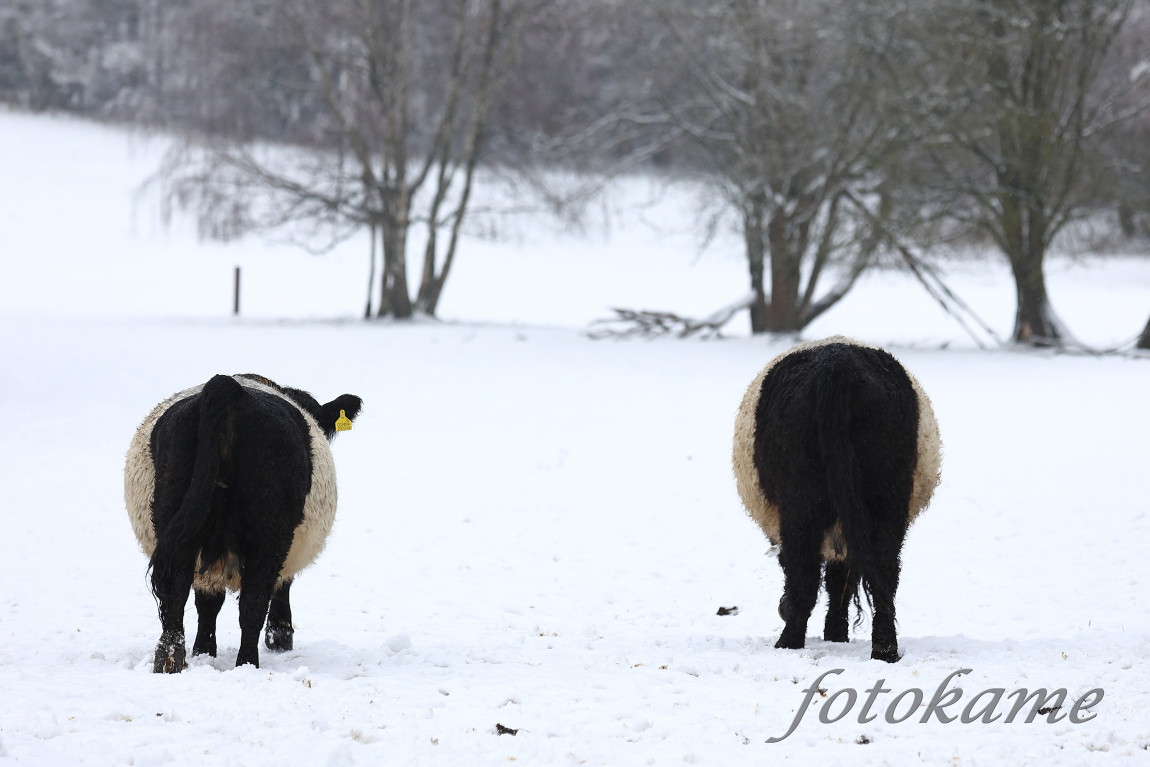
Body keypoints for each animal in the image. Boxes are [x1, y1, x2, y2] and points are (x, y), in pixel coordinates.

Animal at [125, 372, 361, 671]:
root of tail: (228, 388)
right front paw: (280, 636)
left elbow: (208, 603)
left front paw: (204, 651)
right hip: (270, 532)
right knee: (253, 603)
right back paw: (247, 663)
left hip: (175, 515)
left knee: (174, 591)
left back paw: (170, 659)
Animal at [731, 338, 938, 662]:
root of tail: (838, 365)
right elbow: (842, 580)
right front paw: (837, 635)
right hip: (886, 500)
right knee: (884, 572)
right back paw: (885, 650)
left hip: (800, 502)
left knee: (803, 571)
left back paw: (788, 642)